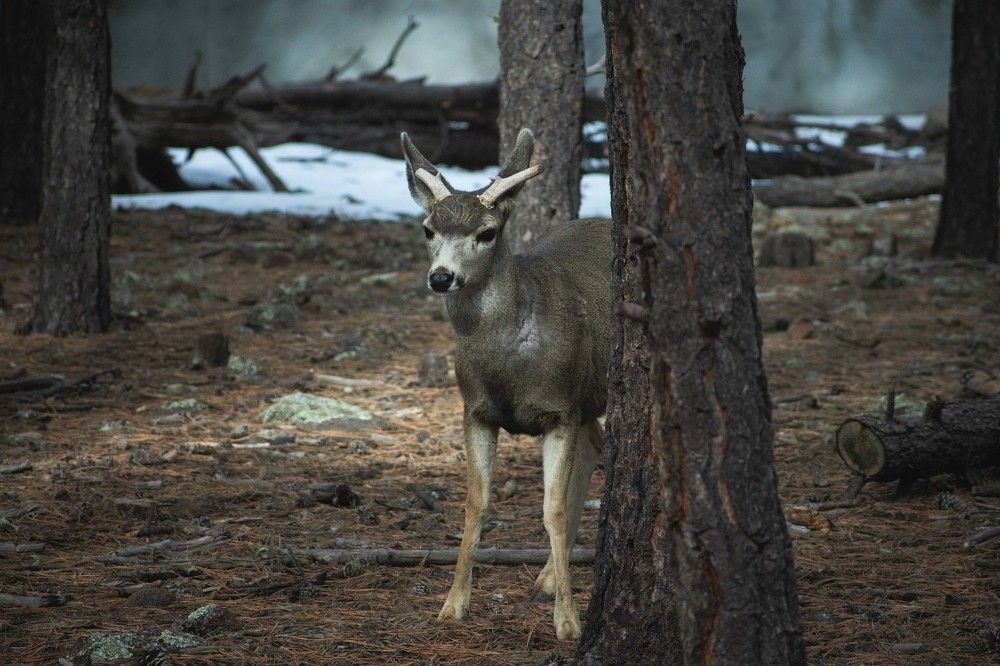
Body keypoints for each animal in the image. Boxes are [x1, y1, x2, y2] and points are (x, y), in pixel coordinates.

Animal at [400, 128, 612, 641]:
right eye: (428, 228)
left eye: (487, 232)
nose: (441, 277)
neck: (508, 366)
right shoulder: (475, 410)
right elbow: (476, 503)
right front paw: (452, 604)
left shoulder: (560, 409)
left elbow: (551, 509)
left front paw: (568, 622)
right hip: (587, 398)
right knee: (594, 444)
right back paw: (547, 577)